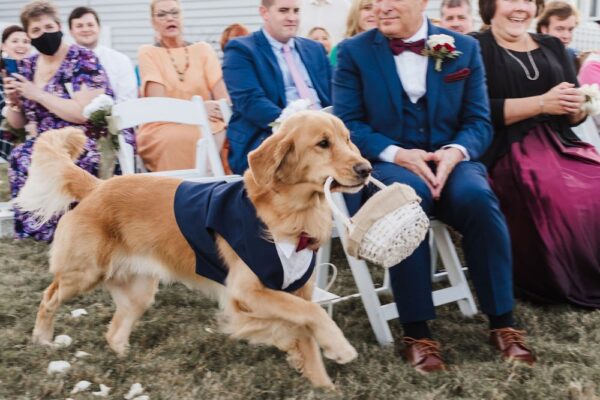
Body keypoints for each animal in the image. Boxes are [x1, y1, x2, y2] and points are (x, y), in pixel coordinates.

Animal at [16, 110, 372, 388]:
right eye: (323, 143)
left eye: (347, 139)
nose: (366, 169)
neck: (291, 214)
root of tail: (98, 185)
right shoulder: (246, 293)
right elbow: (308, 318)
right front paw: (338, 348)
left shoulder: (297, 290)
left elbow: (306, 331)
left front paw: (323, 385)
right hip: (84, 272)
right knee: (48, 298)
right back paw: (43, 338)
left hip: (138, 291)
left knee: (114, 332)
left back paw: (125, 361)